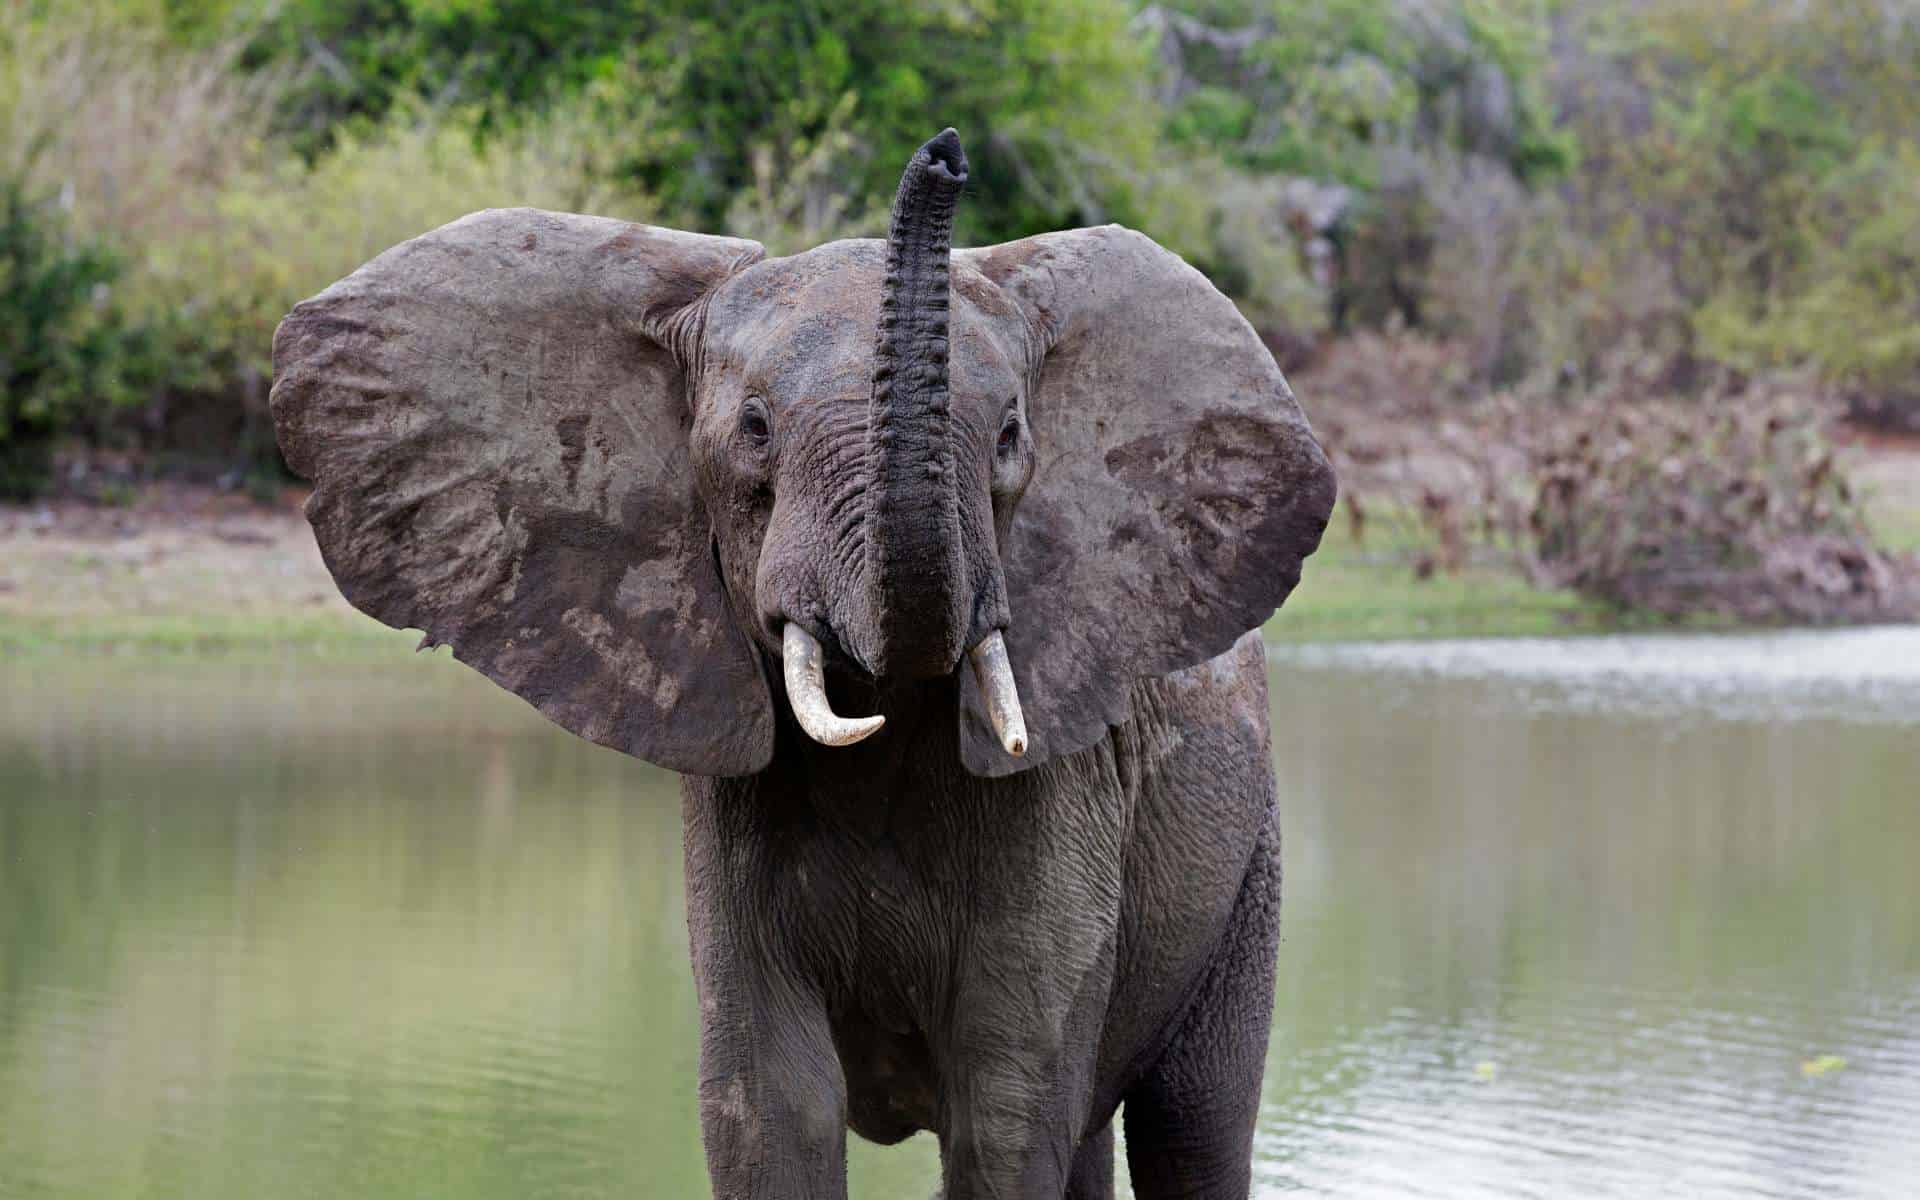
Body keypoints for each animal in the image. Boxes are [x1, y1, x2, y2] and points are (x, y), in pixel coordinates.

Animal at [270, 126, 1336, 1190]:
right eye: (753, 430)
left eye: (1008, 438)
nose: (944, 153)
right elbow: (770, 1105)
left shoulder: (1064, 791)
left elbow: (1006, 1110)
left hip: (1248, 860)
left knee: (1191, 1124)